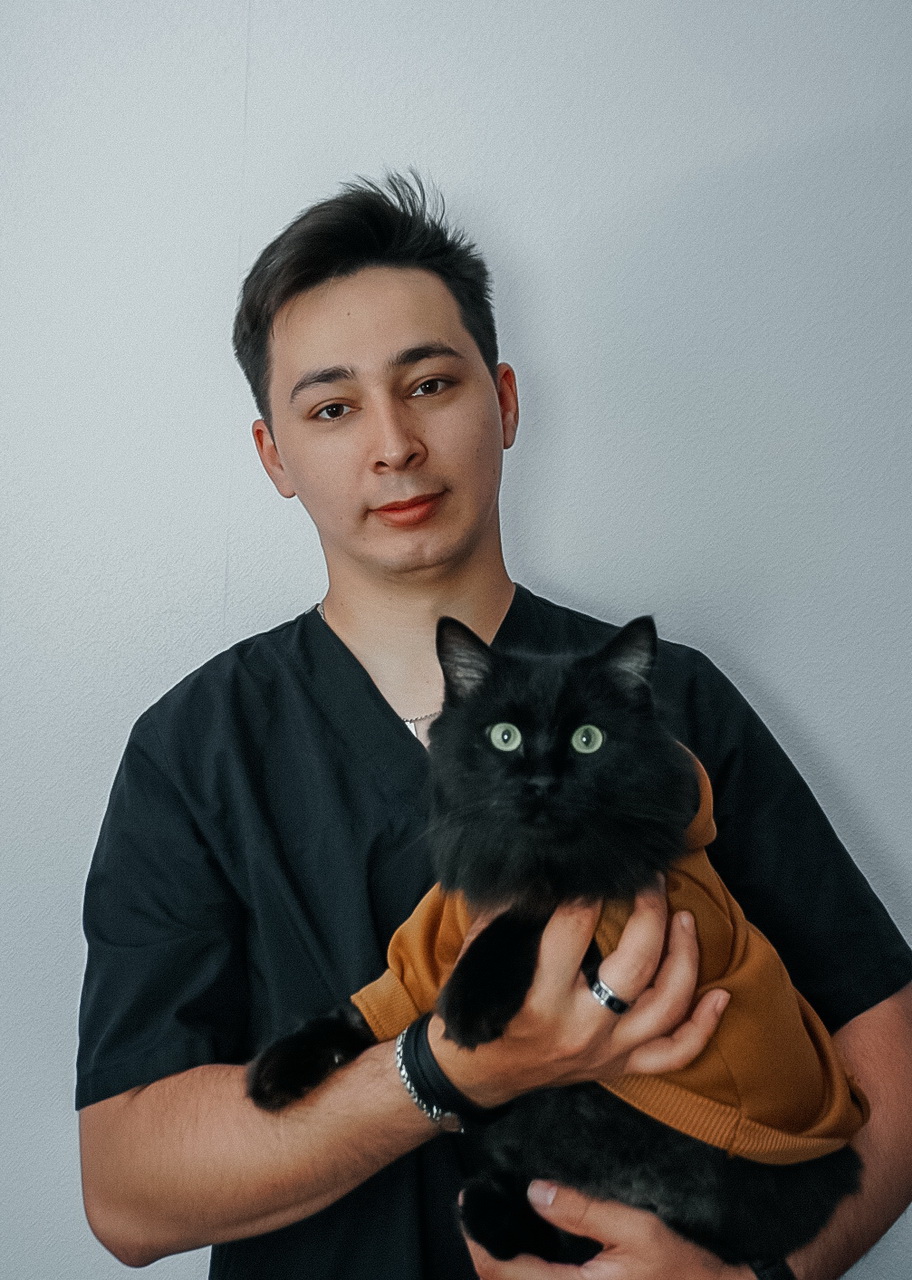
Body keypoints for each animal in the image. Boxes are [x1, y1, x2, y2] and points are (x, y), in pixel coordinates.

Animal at [247, 615, 862, 1267]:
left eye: (588, 739)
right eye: (505, 737)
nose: (541, 780)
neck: (525, 857)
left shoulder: (611, 896)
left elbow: (528, 913)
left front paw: (470, 1004)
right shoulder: (427, 950)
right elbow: (360, 1011)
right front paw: (279, 1071)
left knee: (597, 1234)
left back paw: (488, 1214)